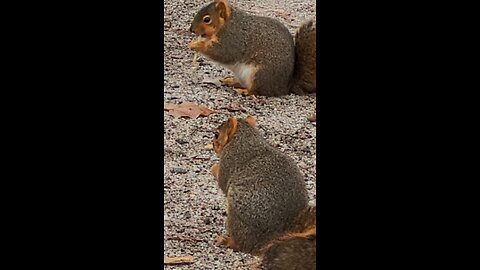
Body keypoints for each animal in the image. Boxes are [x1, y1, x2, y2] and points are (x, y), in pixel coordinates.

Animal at [210, 116, 312, 255]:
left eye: (216, 135)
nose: (212, 145)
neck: (244, 138)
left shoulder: (228, 161)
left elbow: (222, 181)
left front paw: (214, 167)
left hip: (237, 216)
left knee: (242, 245)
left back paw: (226, 241)